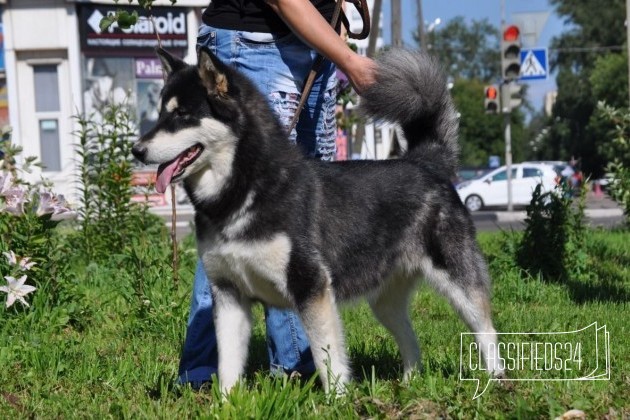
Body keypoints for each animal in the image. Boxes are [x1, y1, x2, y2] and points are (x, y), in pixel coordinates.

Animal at [131, 49, 506, 394]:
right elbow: (227, 365)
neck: (245, 190)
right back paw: (410, 383)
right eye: (161, 114)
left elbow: (329, 358)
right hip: (384, 301)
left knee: (486, 329)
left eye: (182, 114)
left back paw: (496, 381)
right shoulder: (228, 293)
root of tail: (424, 161)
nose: (136, 150)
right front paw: (225, 404)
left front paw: (337, 402)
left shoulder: (311, 287)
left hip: (458, 280)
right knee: (410, 338)